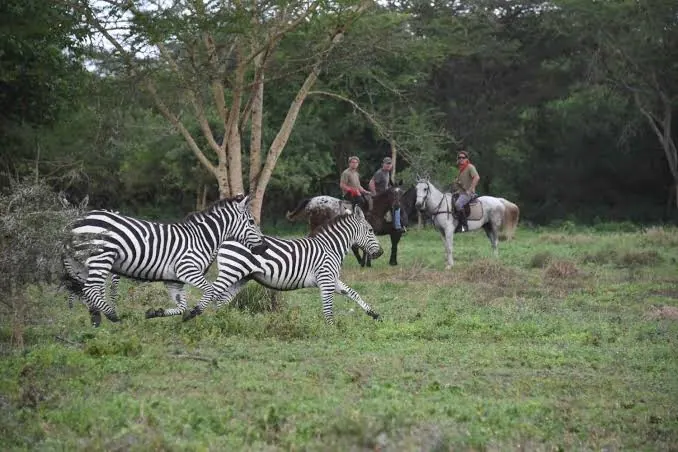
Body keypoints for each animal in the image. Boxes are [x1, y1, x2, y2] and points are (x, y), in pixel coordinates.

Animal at [67, 195, 266, 326]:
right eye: (251, 222)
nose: (264, 247)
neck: (202, 239)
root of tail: (80, 219)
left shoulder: (174, 280)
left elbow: (181, 306)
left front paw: (156, 312)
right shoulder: (187, 270)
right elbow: (209, 291)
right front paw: (194, 313)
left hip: (82, 263)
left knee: (84, 288)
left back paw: (95, 317)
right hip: (101, 258)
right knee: (90, 288)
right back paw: (113, 316)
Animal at [184, 206, 384, 324]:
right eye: (371, 230)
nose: (381, 252)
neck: (330, 247)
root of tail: (226, 238)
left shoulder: (332, 279)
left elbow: (353, 293)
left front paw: (374, 314)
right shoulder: (325, 279)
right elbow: (328, 307)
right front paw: (331, 328)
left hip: (241, 277)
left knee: (221, 300)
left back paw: (223, 321)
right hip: (231, 272)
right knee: (213, 292)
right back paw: (193, 314)